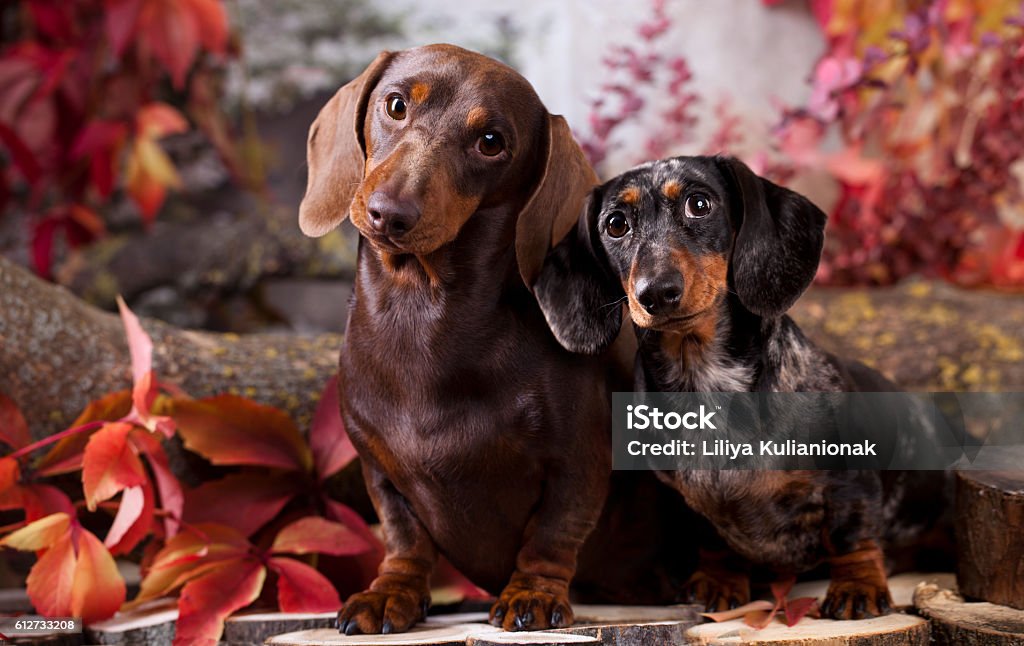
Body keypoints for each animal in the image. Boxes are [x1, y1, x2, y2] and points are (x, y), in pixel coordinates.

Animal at [299, 45, 618, 638]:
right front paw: (390, 592)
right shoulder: (379, 471)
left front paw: (533, 592)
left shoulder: (580, 462)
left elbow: (554, 532)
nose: (388, 213)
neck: (422, 316)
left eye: (491, 141)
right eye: (395, 105)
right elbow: (404, 538)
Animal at [536, 156, 929, 622]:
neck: (706, 380)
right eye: (616, 224)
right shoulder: (693, 503)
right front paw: (719, 581)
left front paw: (857, 586)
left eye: (699, 204)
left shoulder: (848, 479)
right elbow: (714, 542)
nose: (656, 293)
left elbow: (851, 535)